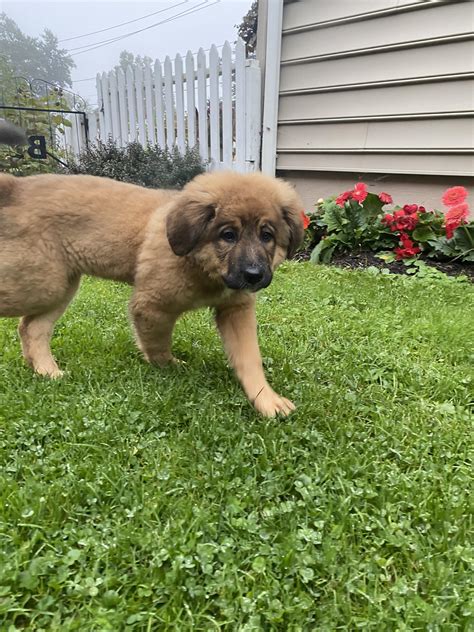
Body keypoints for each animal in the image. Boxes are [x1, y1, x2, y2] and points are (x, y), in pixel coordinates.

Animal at [0, 168, 304, 414]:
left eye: (267, 236)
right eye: (228, 235)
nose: (254, 275)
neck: (202, 267)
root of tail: (15, 187)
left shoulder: (236, 308)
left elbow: (250, 358)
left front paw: (266, 400)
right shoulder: (151, 305)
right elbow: (158, 346)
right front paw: (169, 367)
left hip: (59, 286)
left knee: (31, 328)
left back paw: (46, 371)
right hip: (41, 285)